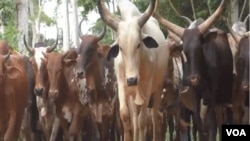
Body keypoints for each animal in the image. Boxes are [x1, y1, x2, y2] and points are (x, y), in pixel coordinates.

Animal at [96, 0, 169, 140]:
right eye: (120, 47)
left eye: (138, 44)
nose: (132, 80)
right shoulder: (122, 85)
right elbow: (125, 116)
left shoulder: (147, 88)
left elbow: (143, 120)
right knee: (135, 119)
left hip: (157, 88)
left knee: (153, 117)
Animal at [154, 0, 234, 140]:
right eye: (184, 51)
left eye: (200, 48)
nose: (193, 79)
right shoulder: (194, 98)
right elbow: (198, 123)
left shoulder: (212, 97)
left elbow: (211, 124)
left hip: (225, 96)